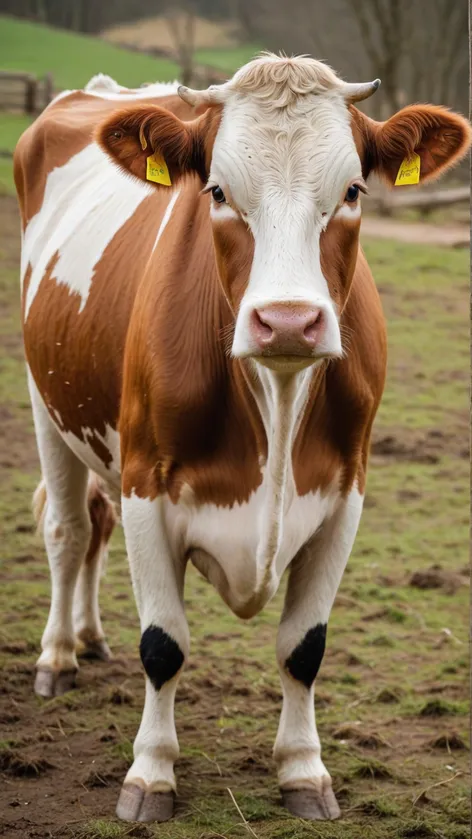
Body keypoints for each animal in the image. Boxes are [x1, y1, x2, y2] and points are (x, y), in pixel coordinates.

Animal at [14, 55, 472, 824]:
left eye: (352, 190)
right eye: (218, 192)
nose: (287, 321)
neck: (276, 402)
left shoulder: (346, 494)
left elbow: (304, 647)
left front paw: (304, 770)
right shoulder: (146, 483)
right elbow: (163, 644)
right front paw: (150, 774)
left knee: (93, 528)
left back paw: (91, 637)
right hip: (48, 406)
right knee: (68, 529)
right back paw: (56, 655)